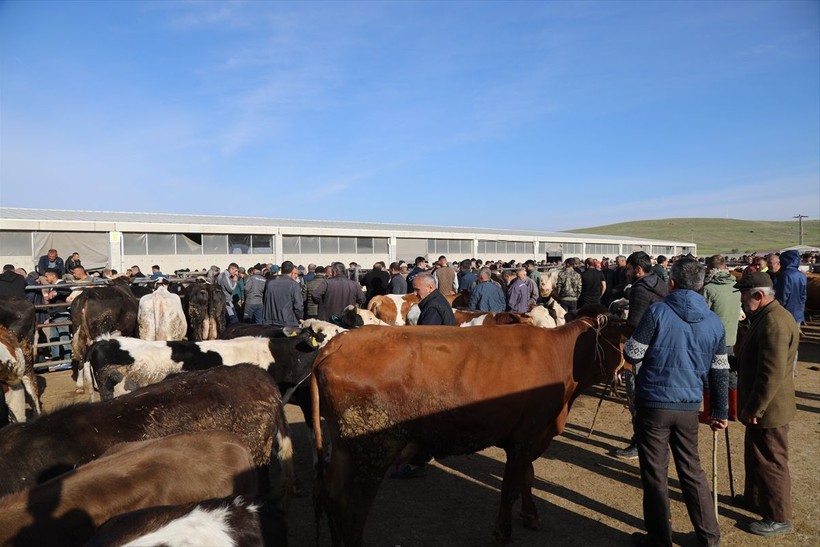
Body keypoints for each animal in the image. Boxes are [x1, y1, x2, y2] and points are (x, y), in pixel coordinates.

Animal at [310, 308, 624, 544]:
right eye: (621, 338)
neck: (562, 358)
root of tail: (337, 343)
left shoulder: (527, 437)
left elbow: (528, 477)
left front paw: (531, 515)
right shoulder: (528, 436)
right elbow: (510, 487)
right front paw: (503, 533)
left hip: (346, 449)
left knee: (330, 498)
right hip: (372, 450)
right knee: (351, 509)